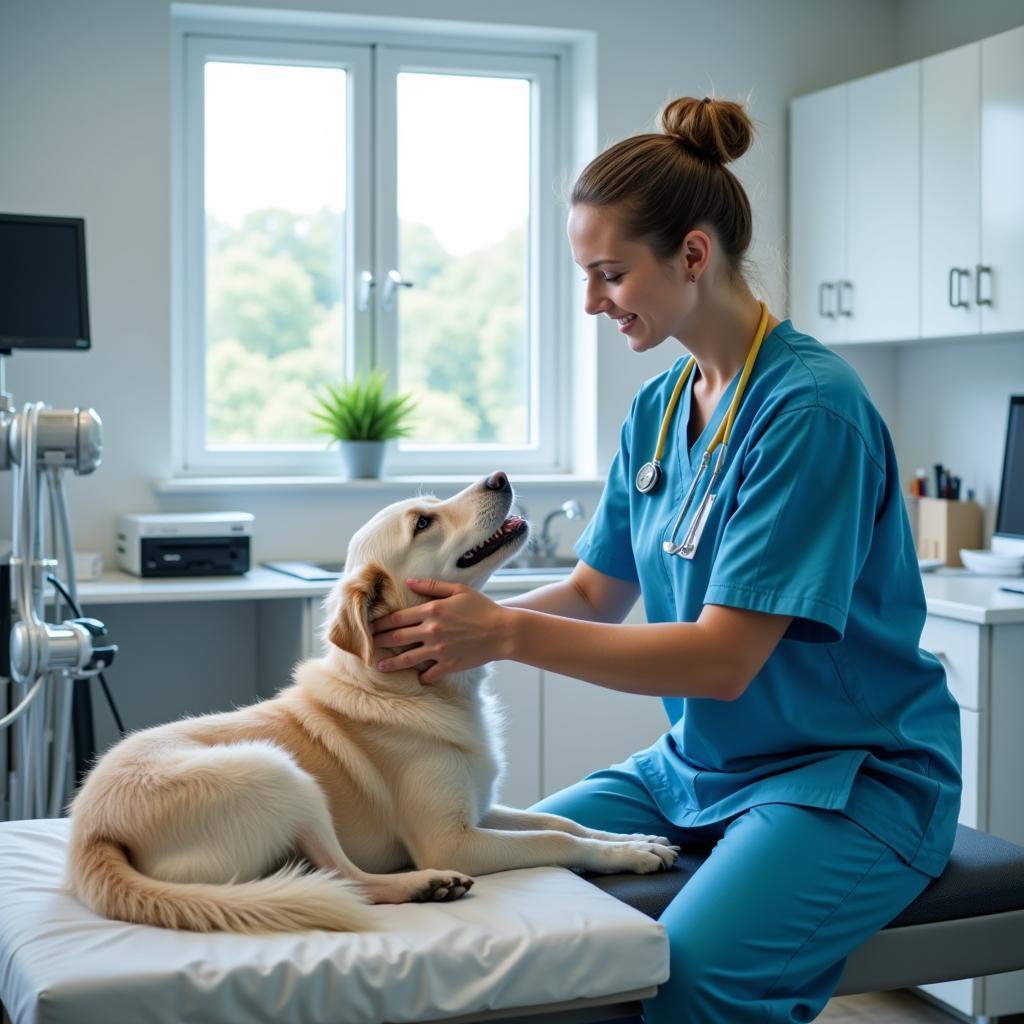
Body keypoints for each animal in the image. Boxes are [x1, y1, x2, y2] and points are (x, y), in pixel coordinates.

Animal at [66, 475, 679, 933]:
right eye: (423, 523)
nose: (501, 477)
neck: (412, 687)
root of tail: (89, 835)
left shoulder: (481, 810)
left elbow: (560, 819)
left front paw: (634, 841)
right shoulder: (453, 839)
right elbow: (554, 838)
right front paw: (625, 856)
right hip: (278, 773)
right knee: (347, 879)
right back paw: (427, 883)